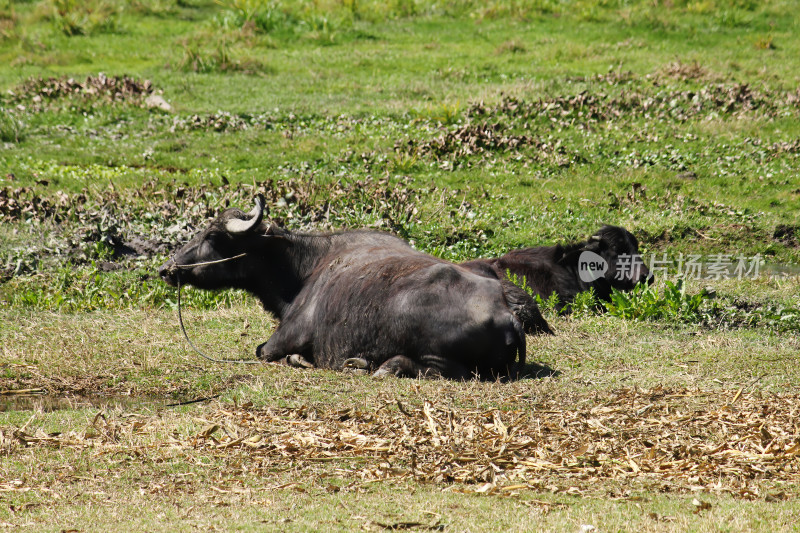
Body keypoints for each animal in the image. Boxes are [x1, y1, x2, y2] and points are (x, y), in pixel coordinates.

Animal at [162, 196, 552, 378]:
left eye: (213, 236)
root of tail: (508, 316)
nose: (167, 269)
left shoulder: (284, 337)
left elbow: (264, 351)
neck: (305, 270)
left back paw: (377, 365)